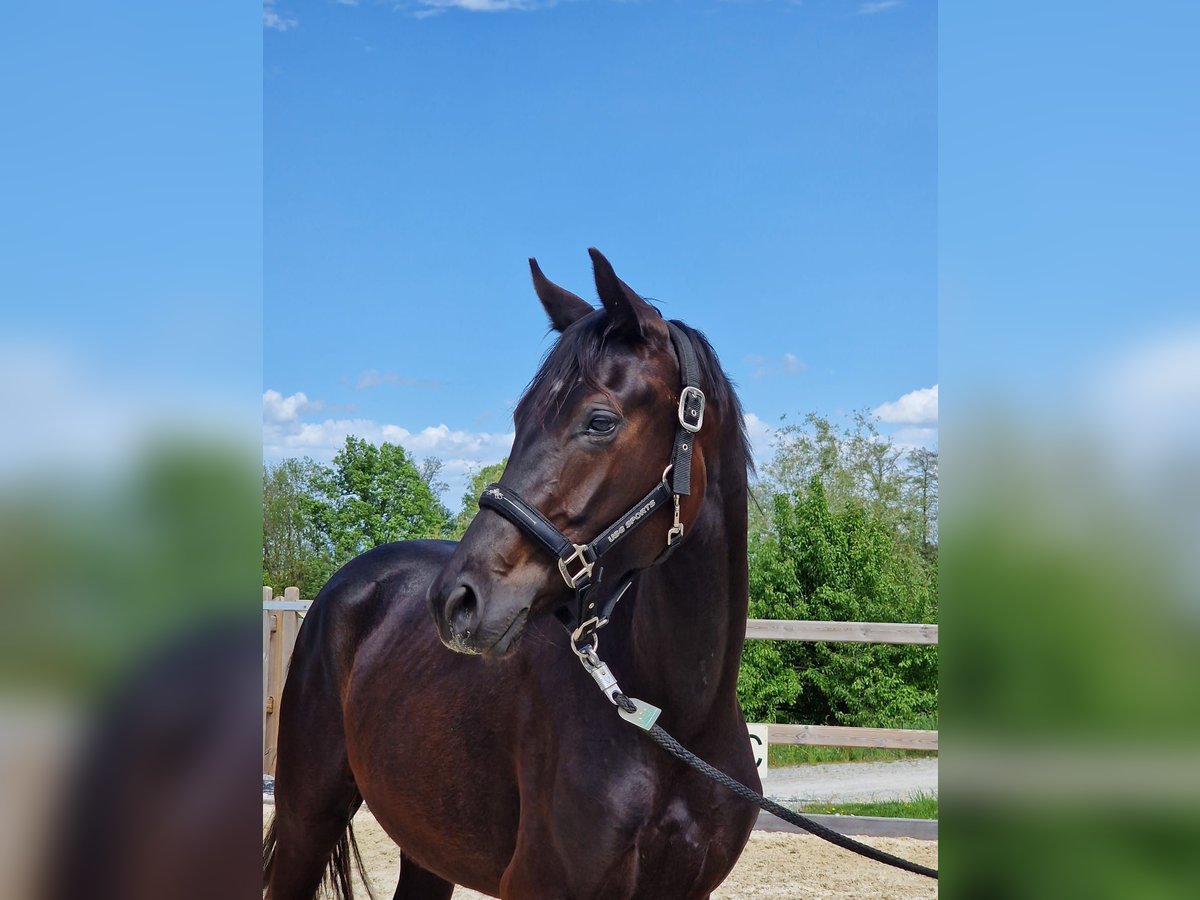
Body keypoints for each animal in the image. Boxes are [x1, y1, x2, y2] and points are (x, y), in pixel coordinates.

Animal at [267, 250, 763, 897]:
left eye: (600, 422)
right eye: (520, 416)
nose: (456, 601)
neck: (675, 721)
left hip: (427, 849)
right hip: (306, 819)